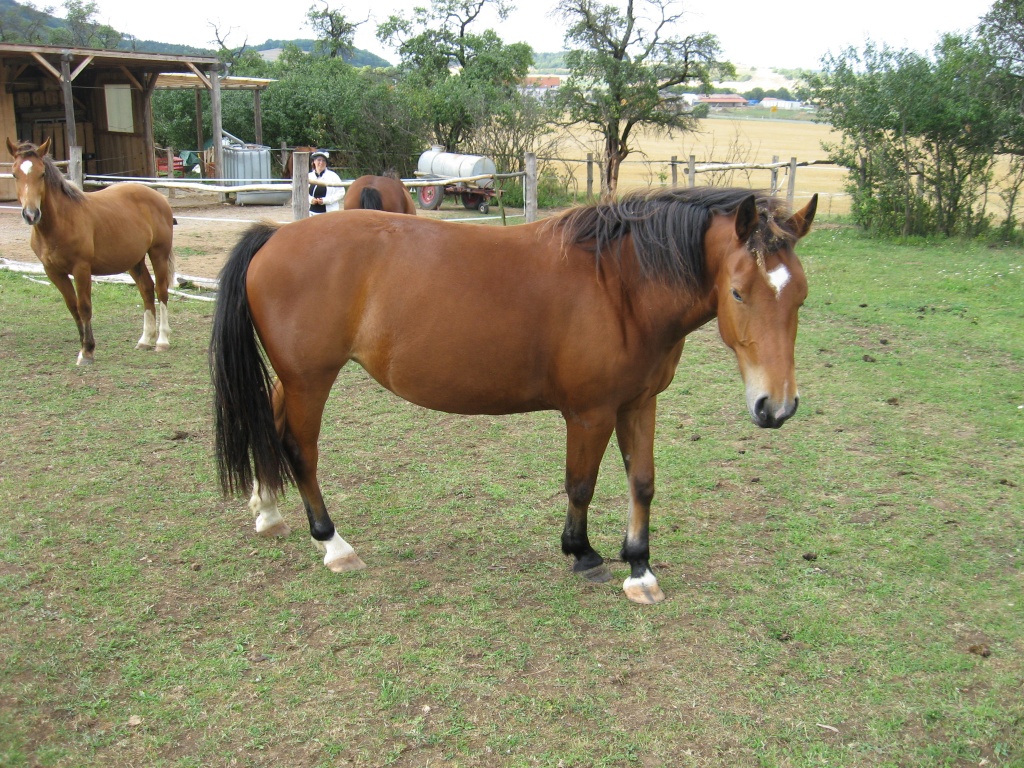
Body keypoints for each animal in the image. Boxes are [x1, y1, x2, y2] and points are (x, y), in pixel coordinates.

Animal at [6, 138, 176, 365]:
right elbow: (73, 307)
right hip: (135, 261)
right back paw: (145, 339)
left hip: (158, 253)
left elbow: (84, 306)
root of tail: (159, 197)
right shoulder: (53, 272)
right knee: (147, 290)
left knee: (161, 291)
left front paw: (87, 351)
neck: (61, 222)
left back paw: (162, 341)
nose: (31, 214)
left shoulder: (81, 269)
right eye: (15, 174)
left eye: (41, 174)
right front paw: (83, 347)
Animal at [210, 187, 817, 604]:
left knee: (270, 428)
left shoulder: (640, 403)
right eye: (738, 292)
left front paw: (640, 569)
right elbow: (581, 484)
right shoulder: (590, 413)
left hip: (294, 381)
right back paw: (333, 544)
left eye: (801, 296)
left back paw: (268, 510)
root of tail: (275, 236)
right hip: (312, 380)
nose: (777, 407)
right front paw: (583, 553)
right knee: (300, 451)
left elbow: (642, 483)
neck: (620, 286)